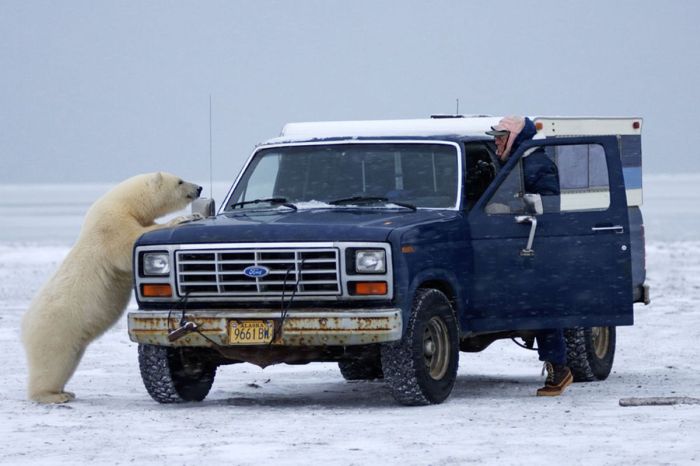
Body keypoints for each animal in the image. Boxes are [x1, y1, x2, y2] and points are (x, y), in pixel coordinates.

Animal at [22, 173, 202, 402]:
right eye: (180, 181)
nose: (198, 188)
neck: (124, 202)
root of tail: (24, 327)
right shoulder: (111, 225)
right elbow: (130, 242)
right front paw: (183, 218)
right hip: (55, 328)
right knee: (53, 362)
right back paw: (52, 395)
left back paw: (64, 391)